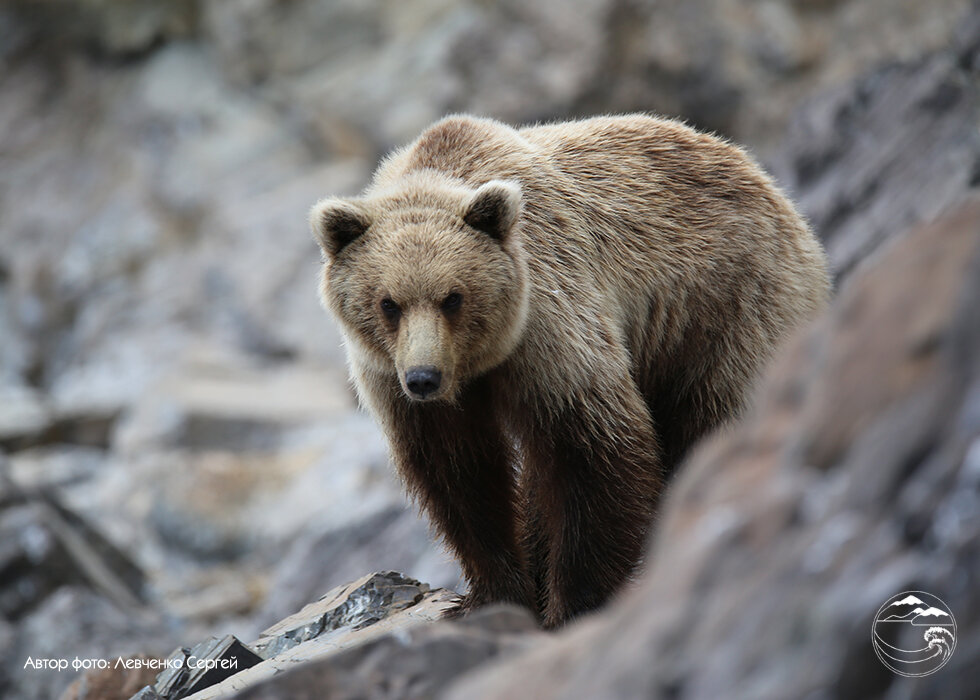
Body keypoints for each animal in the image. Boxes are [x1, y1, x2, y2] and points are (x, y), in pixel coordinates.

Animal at [310, 115, 832, 628]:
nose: (423, 378)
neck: (478, 364)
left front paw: (573, 602)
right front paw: (493, 595)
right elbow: (459, 474)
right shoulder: (392, 379)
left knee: (715, 415)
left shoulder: (549, 325)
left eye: (453, 297)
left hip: (727, 309)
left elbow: (590, 450)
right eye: (388, 303)